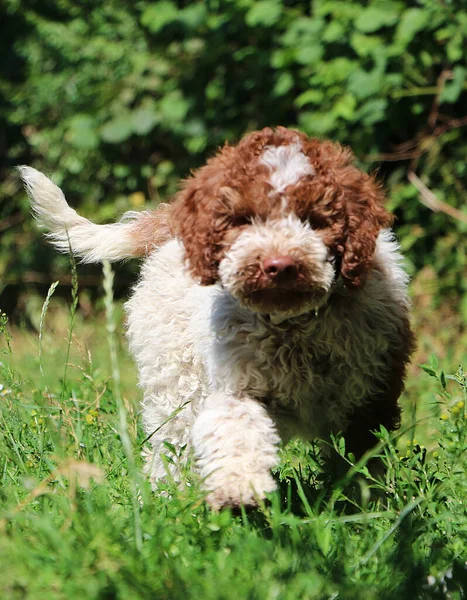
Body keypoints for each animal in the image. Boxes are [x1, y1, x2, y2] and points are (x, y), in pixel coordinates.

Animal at [19, 127, 414, 510]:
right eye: (243, 219)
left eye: (315, 220)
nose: (279, 265)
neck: (294, 324)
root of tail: (171, 224)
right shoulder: (237, 382)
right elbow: (236, 426)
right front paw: (239, 487)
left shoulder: (372, 395)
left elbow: (363, 461)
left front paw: (365, 505)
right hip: (175, 375)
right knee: (171, 440)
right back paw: (167, 499)